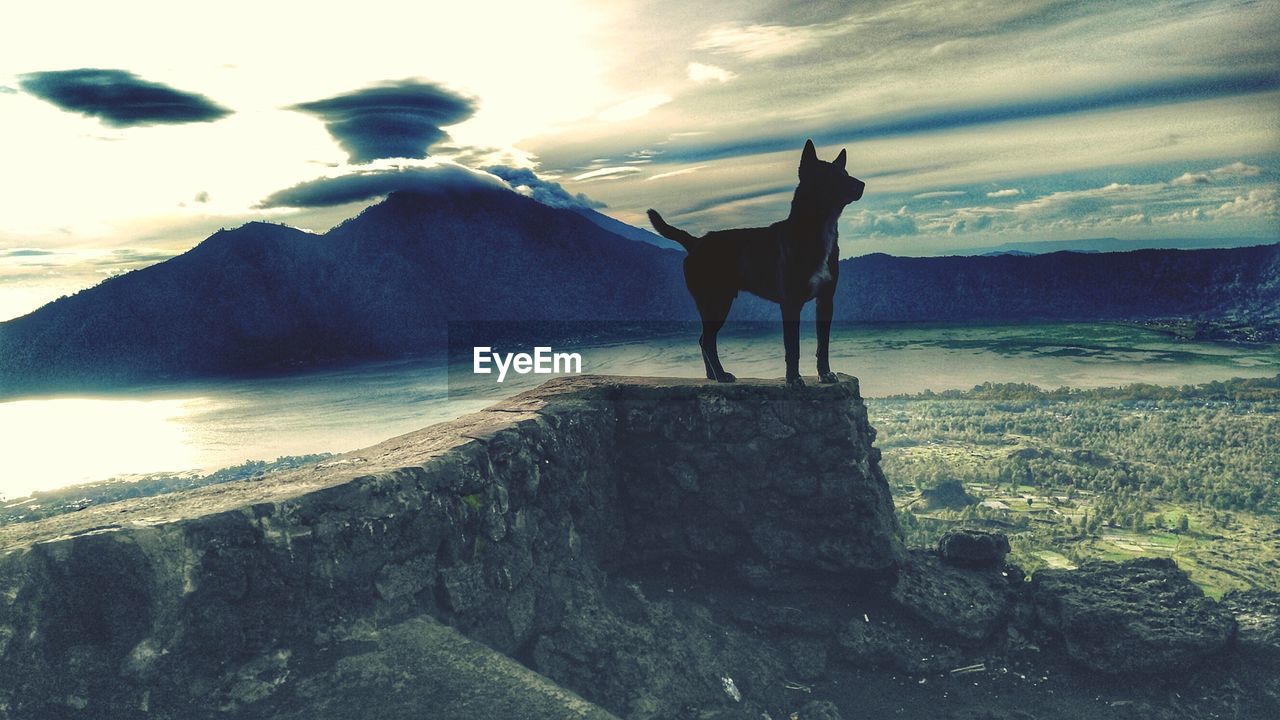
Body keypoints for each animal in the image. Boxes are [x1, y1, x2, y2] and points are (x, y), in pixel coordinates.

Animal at [650, 140, 860, 386]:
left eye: (845, 173)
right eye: (830, 175)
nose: (862, 185)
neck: (816, 229)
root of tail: (696, 242)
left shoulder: (826, 300)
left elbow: (823, 344)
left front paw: (824, 373)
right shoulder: (790, 303)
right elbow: (793, 346)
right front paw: (793, 379)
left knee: (704, 339)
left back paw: (713, 375)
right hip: (716, 302)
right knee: (707, 340)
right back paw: (721, 375)